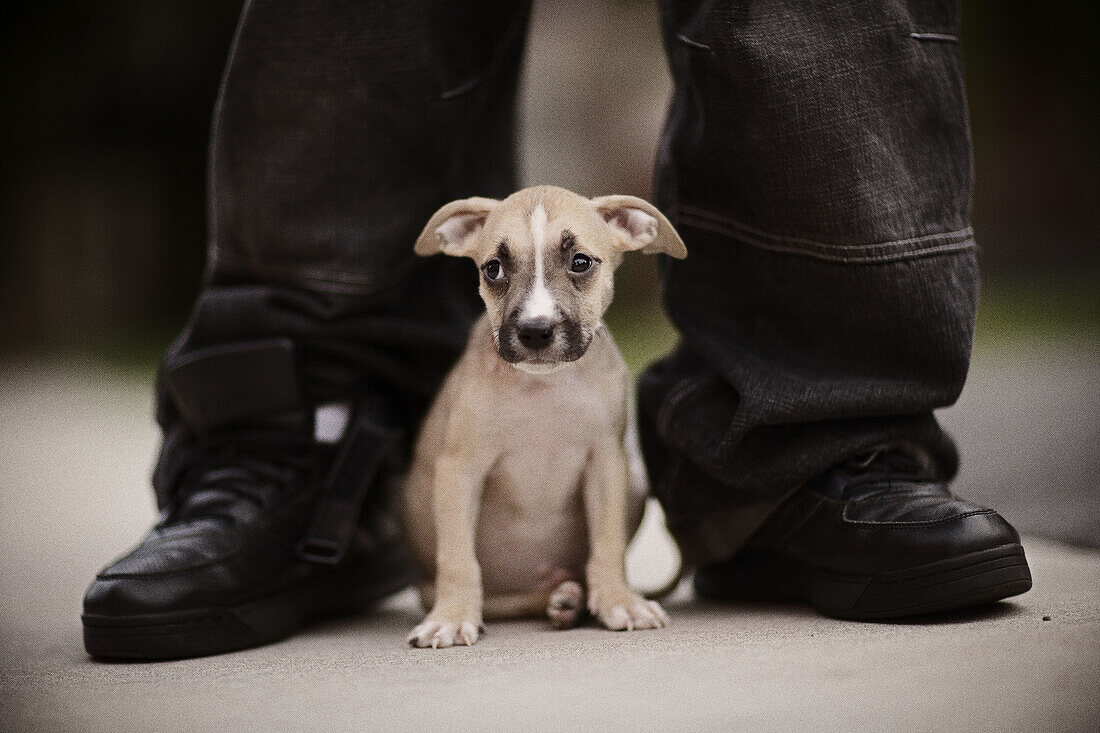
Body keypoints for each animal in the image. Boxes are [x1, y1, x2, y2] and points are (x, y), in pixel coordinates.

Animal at [404, 182, 682, 647]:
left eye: (580, 262)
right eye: (493, 269)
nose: (535, 331)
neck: (543, 389)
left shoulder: (607, 463)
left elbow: (607, 543)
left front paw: (618, 601)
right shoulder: (459, 469)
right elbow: (458, 556)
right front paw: (453, 616)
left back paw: (571, 597)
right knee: (506, 599)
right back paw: (560, 599)